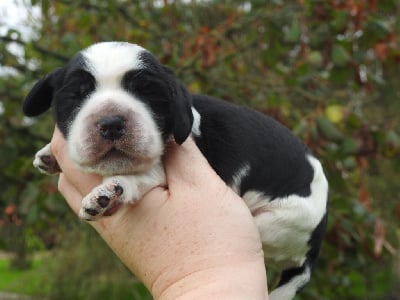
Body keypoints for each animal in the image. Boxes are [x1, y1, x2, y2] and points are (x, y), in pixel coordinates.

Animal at [22, 41, 328, 298]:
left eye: (148, 94)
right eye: (77, 95)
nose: (111, 123)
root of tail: (312, 251)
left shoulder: (162, 168)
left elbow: (138, 176)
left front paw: (109, 193)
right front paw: (49, 155)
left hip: (276, 221)